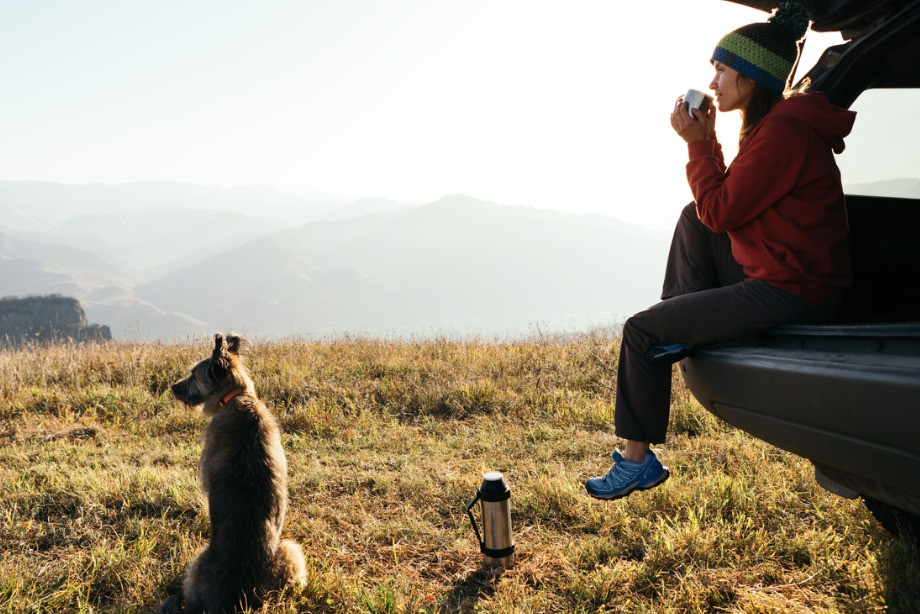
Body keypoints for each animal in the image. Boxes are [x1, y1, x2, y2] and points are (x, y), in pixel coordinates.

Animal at [156, 334, 304, 612]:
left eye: (193, 374)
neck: (237, 397)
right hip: (290, 555)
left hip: (198, 565)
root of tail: (236, 600)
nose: (173, 388)